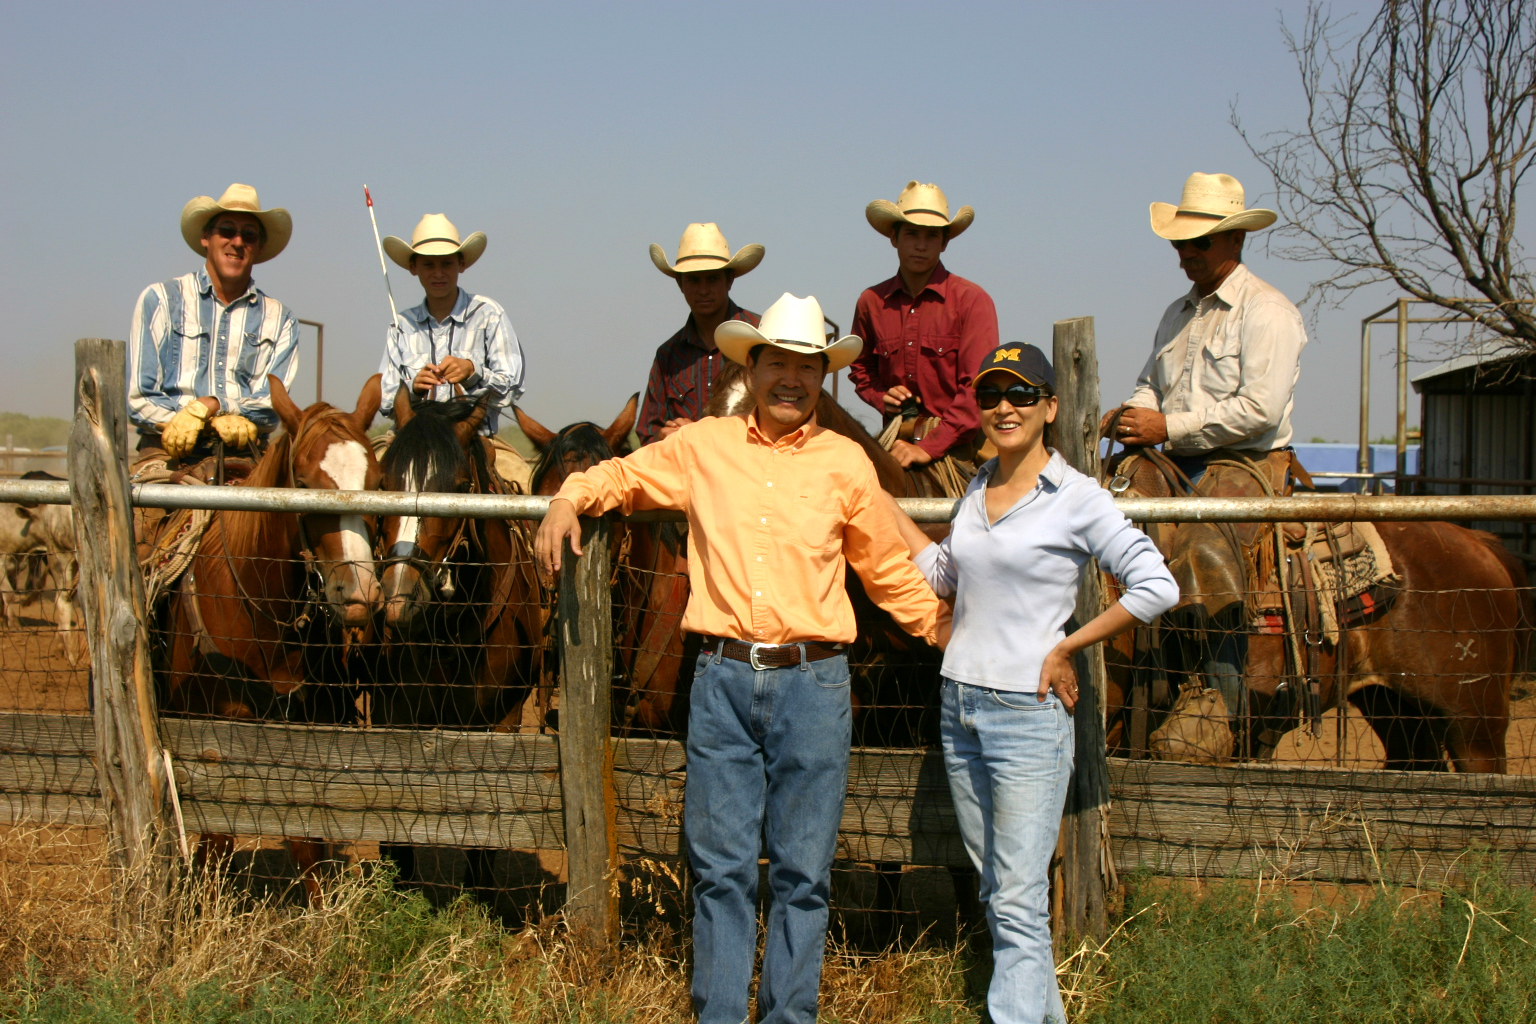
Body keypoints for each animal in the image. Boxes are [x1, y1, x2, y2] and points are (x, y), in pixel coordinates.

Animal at [159, 374, 387, 896]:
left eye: (378, 482)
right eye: (302, 483)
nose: (359, 593)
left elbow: (308, 845)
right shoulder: (215, 743)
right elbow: (217, 840)